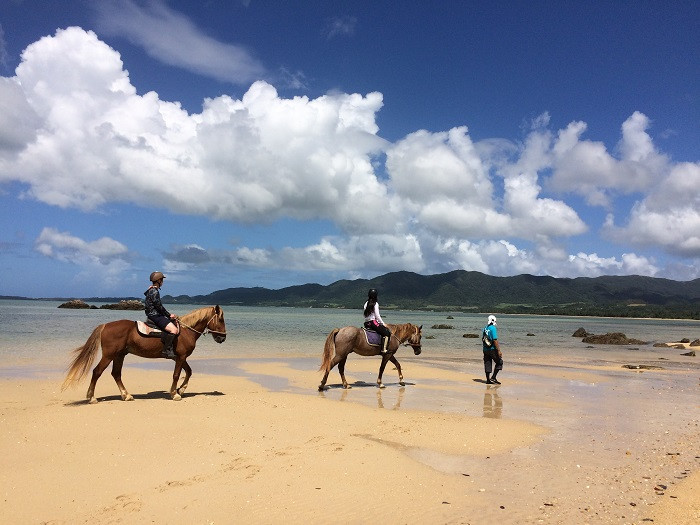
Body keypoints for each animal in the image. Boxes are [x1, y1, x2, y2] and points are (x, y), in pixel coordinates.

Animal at [61, 302, 227, 402]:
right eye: (221, 320)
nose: (223, 338)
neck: (185, 331)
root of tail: (105, 325)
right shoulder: (180, 357)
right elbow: (176, 374)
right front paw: (175, 393)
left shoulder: (180, 358)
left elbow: (189, 372)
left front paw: (181, 389)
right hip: (109, 356)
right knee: (97, 372)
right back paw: (92, 397)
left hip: (119, 355)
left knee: (116, 374)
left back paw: (126, 395)